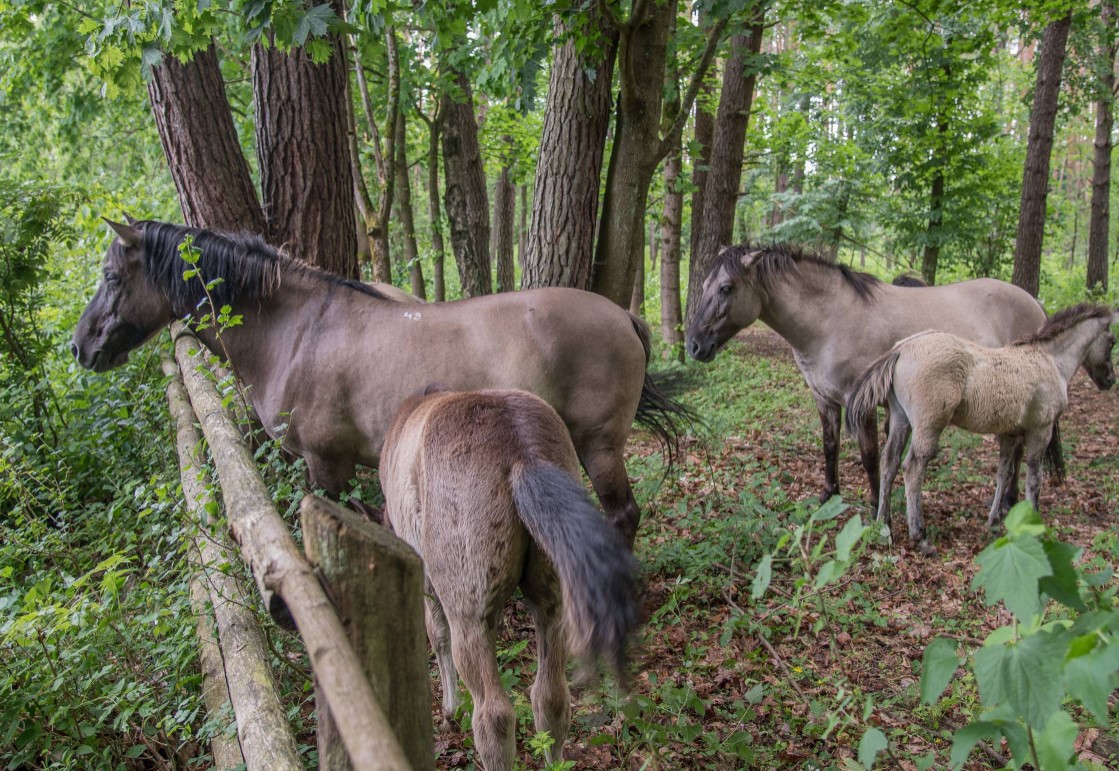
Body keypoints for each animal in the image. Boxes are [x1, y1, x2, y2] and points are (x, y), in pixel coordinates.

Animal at [72, 217, 689, 541]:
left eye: (110, 276)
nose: (81, 347)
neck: (295, 331)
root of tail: (623, 316)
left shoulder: (327, 465)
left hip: (599, 444)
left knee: (621, 515)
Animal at [380, 391, 640, 769]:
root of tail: (522, 451)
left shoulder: (428, 583)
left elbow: (436, 633)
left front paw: (449, 711)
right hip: (552, 604)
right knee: (550, 699)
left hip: (470, 620)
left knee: (493, 716)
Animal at [684, 246, 1042, 508]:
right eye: (703, 286)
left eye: (726, 288)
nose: (694, 345)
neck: (830, 321)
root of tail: (1034, 304)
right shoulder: (824, 399)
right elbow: (830, 447)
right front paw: (829, 494)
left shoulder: (863, 403)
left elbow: (870, 457)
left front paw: (873, 506)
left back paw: (1009, 501)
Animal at [850, 302, 1114, 552]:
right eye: (1112, 342)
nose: (1110, 380)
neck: (1049, 360)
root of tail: (902, 349)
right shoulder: (1041, 430)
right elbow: (1034, 479)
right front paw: (1033, 524)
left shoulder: (1009, 434)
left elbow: (1004, 472)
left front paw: (994, 519)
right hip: (929, 426)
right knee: (913, 467)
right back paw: (920, 536)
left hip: (900, 419)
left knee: (889, 462)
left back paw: (883, 525)